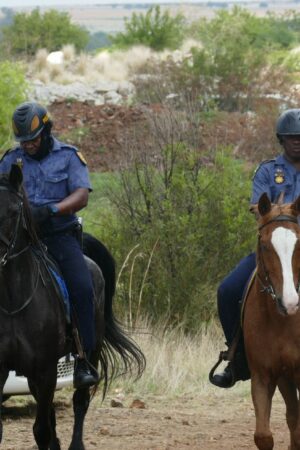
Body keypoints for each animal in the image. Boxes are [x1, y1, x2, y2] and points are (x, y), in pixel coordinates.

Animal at [0, 165, 145, 450]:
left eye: (13, 211)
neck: (13, 299)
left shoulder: (45, 369)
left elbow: (41, 430)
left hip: (90, 351)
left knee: (80, 401)